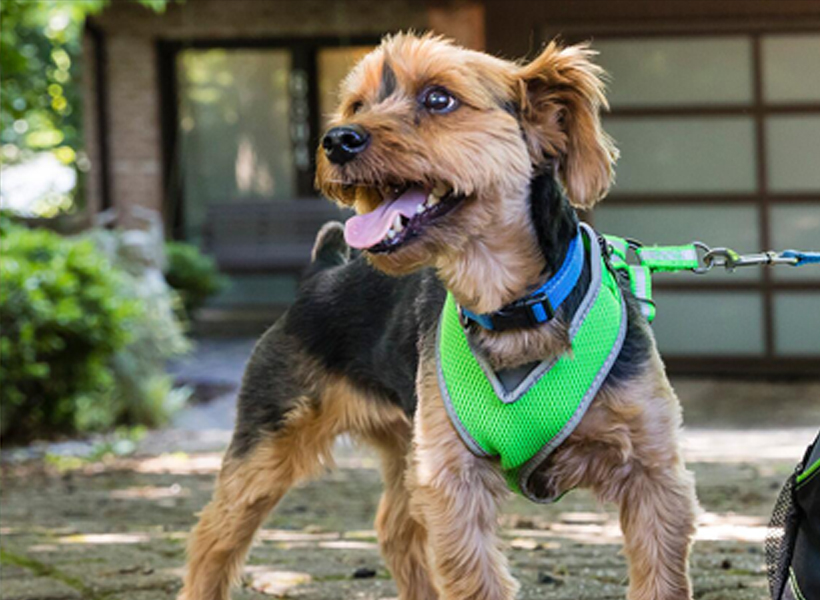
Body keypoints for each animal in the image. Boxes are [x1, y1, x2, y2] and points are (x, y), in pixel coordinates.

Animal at [179, 33, 698, 600]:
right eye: (356, 104)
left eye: (438, 99)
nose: (336, 140)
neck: (510, 309)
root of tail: (322, 272)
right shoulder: (452, 477)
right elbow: (475, 575)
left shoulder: (651, 470)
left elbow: (660, 573)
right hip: (271, 439)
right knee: (215, 534)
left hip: (402, 443)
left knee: (393, 526)